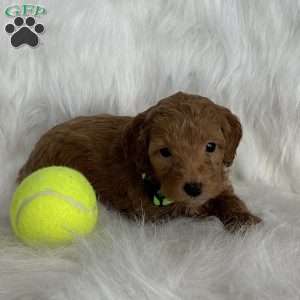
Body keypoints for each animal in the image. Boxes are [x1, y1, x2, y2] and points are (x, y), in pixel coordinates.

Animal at [18, 92, 260, 231]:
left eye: (210, 147)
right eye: (165, 152)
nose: (193, 188)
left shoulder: (217, 181)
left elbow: (227, 198)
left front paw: (245, 219)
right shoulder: (150, 212)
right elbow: (195, 208)